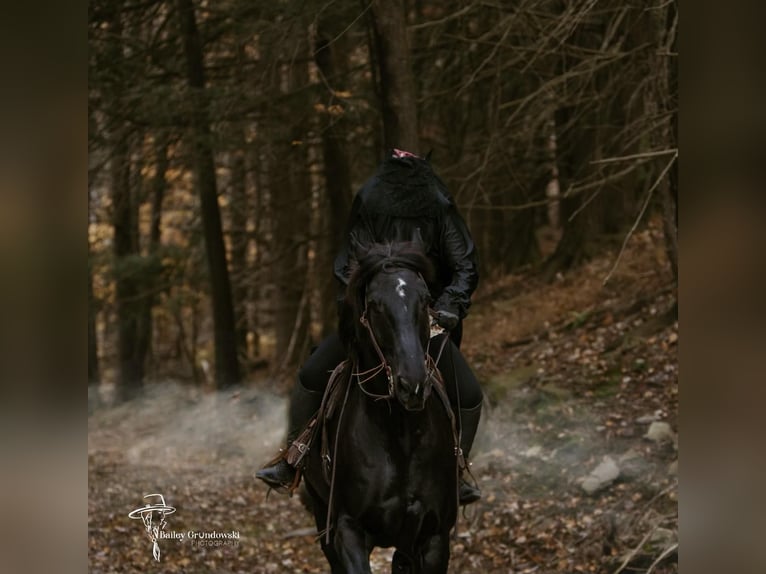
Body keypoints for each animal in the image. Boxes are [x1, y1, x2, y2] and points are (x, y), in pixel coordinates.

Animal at [302, 243, 462, 574]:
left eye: (425, 300)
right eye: (375, 304)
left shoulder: (434, 538)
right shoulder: (348, 530)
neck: (399, 432)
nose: (412, 384)